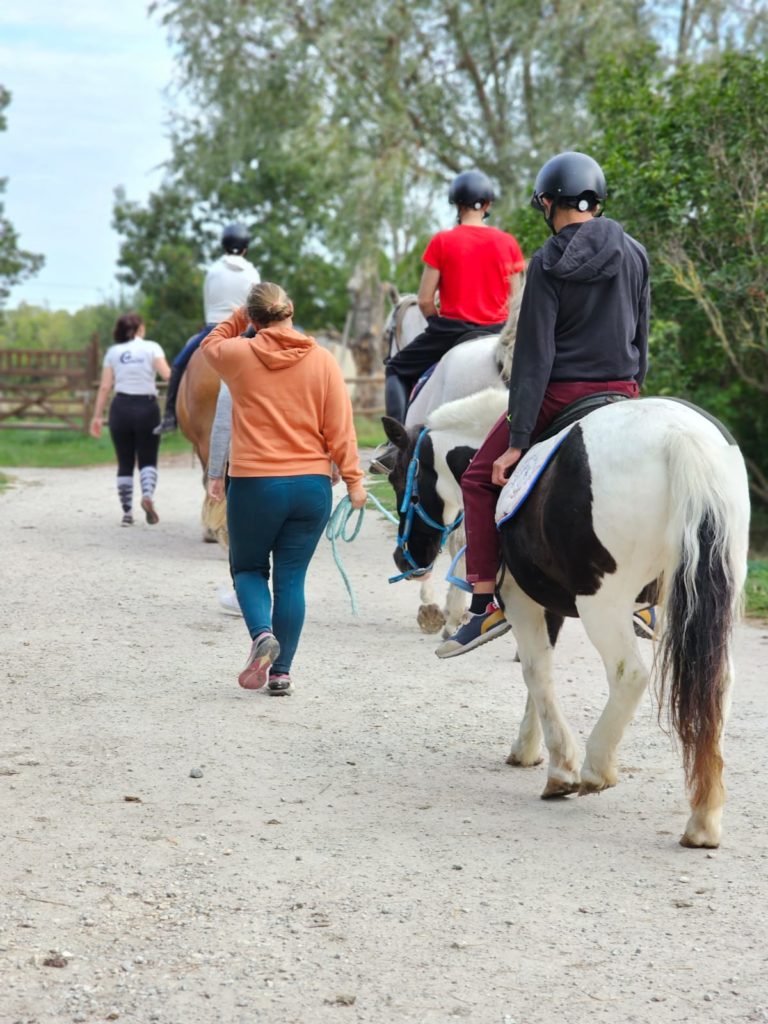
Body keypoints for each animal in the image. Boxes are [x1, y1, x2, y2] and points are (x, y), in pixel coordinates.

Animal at [385, 387, 753, 843]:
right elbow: (538, 675)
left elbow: (536, 671)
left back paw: (598, 768)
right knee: (716, 681)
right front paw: (528, 748)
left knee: (630, 674)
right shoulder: (548, 602)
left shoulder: (522, 600)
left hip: (602, 604)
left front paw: (561, 768)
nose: (404, 557)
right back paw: (704, 818)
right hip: (696, 596)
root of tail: (678, 436)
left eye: (399, 478)